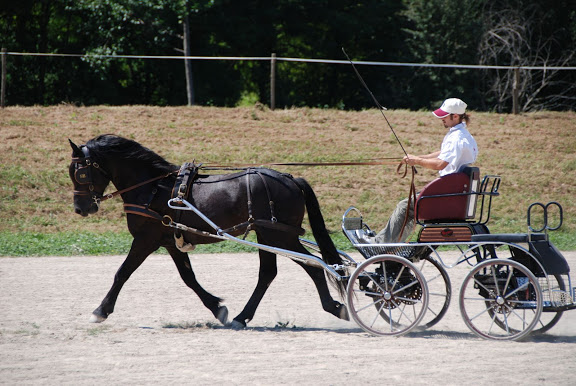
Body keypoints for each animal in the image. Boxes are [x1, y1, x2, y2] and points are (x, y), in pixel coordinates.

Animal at [67, 134, 346, 328]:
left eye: (80, 173)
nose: (81, 208)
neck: (153, 188)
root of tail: (291, 179)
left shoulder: (146, 240)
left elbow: (122, 273)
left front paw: (100, 311)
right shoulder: (171, 241)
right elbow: (188, 277)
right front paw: (217, 309)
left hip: (280, 236)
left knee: (314, 266)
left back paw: (334, 307)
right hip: (268, 235)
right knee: (270, 273)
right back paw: (243, 317)